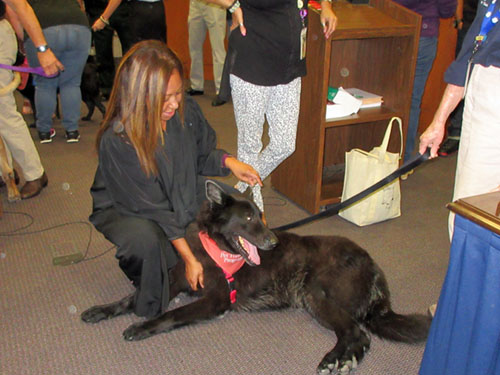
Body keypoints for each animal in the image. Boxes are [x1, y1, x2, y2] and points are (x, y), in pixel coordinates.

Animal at [82, 181, 430, 374]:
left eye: (260, 216)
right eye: (249, 217)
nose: (274, 242)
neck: (215, 248)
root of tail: (374, 269)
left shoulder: (216, 301)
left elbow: (172, 314)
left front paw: (142, 327)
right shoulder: (178, 280)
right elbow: (132, 298)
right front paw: (102, 310)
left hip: (316, 293)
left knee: (357, 333)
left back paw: (335, 360)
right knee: (359, 336)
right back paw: (344, 361)